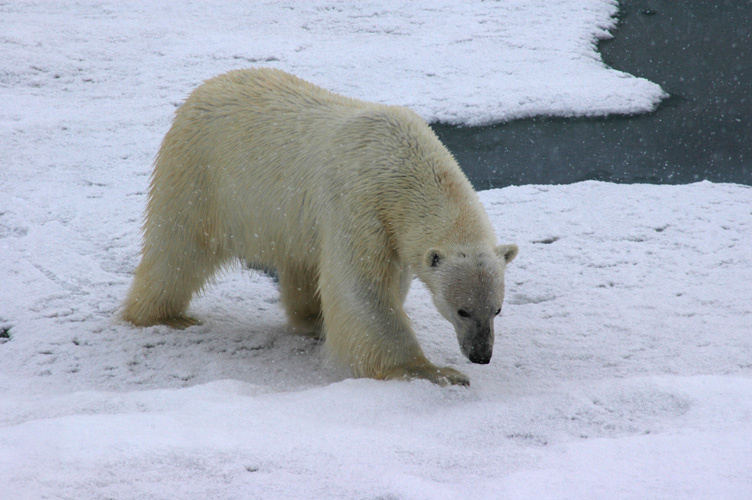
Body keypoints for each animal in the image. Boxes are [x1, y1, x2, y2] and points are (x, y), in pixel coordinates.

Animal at [122, 68, 518, 386]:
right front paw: (435, 372)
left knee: (298, 263)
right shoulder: (359, 201)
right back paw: (163, 315)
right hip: (200, 172)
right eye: (462, 310)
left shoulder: (390, 228)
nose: (481, 354)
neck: (404, 163)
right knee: (177, 249)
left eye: (497, 309)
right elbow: (361, 290)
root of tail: (204, 88)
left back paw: (312, 322)